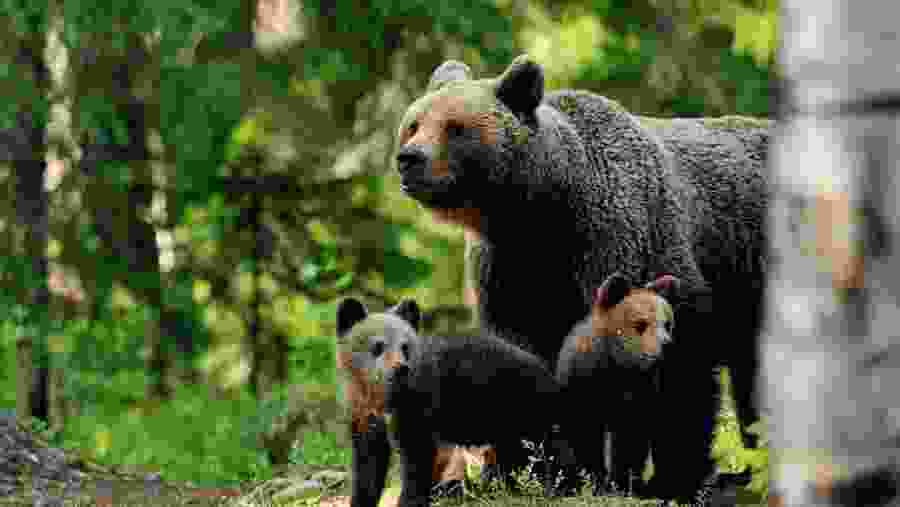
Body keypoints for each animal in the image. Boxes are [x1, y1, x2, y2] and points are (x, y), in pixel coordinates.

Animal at [335, 298, 469, 507]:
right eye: (378, 346)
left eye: (405, 346)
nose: (400, 368)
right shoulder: (363, 416)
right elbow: (368, 468)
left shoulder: (417, 412)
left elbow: (417, 461)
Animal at [552, 272, 682, 498]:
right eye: (641, 323)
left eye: (667, 323)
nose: (667, 344)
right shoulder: (584, 386)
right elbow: (586, 436)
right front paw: (596, 482)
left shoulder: (639, 395)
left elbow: (630, 441)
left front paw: (623, 484)